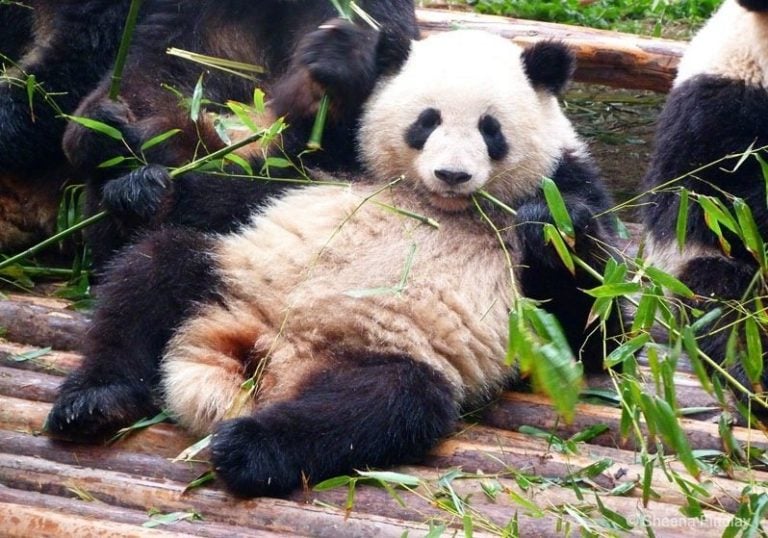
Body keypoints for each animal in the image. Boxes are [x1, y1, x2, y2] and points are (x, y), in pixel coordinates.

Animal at [46, 31, 624, 496]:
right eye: (426, 121)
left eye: (490, 129)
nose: (453, 175)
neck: (444, 208)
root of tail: (267, 358)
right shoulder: (334, 164)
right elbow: (240, 186)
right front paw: (134, 178)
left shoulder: (570, 183)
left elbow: (596, 336)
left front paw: (551, 229)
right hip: (230, 271)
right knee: (151, 274)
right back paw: (95, 402)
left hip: (387, 355)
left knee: (380, 406)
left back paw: (247, 448)